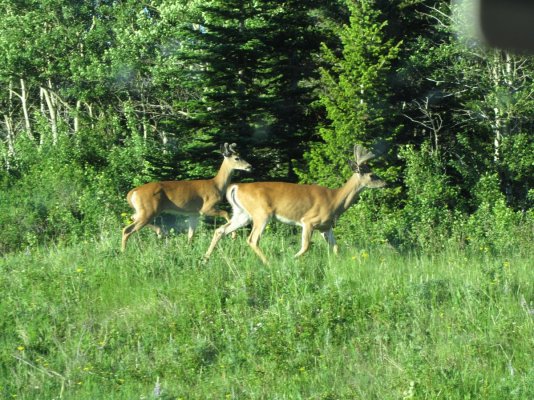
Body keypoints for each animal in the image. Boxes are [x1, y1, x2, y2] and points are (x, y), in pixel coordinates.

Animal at [121, 142, 253, 252]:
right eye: (237, 158)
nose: (250, 166)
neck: (216, 185)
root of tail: (132, 192)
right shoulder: (206, 208)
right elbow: (226, 213)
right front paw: (233, 235)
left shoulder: (193, 213)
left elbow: (191, 234)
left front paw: (188, 249)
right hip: (149, 209)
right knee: (127, 230)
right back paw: (123, 252)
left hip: (143, 210)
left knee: (132, 217)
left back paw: (159, 232)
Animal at [204, 145, 386, 264]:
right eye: (371, 175)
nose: (385, 183)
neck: (335, 200)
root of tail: (236, 187)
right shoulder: (309, 221)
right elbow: (305, 246)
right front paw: (291, 259)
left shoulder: (325, 227)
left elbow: (336, 247)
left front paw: (337, 263)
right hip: (261, 213)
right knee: (253, 239)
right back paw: (269, 263)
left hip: (243, 214)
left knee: (220, 230)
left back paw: (205, 259)